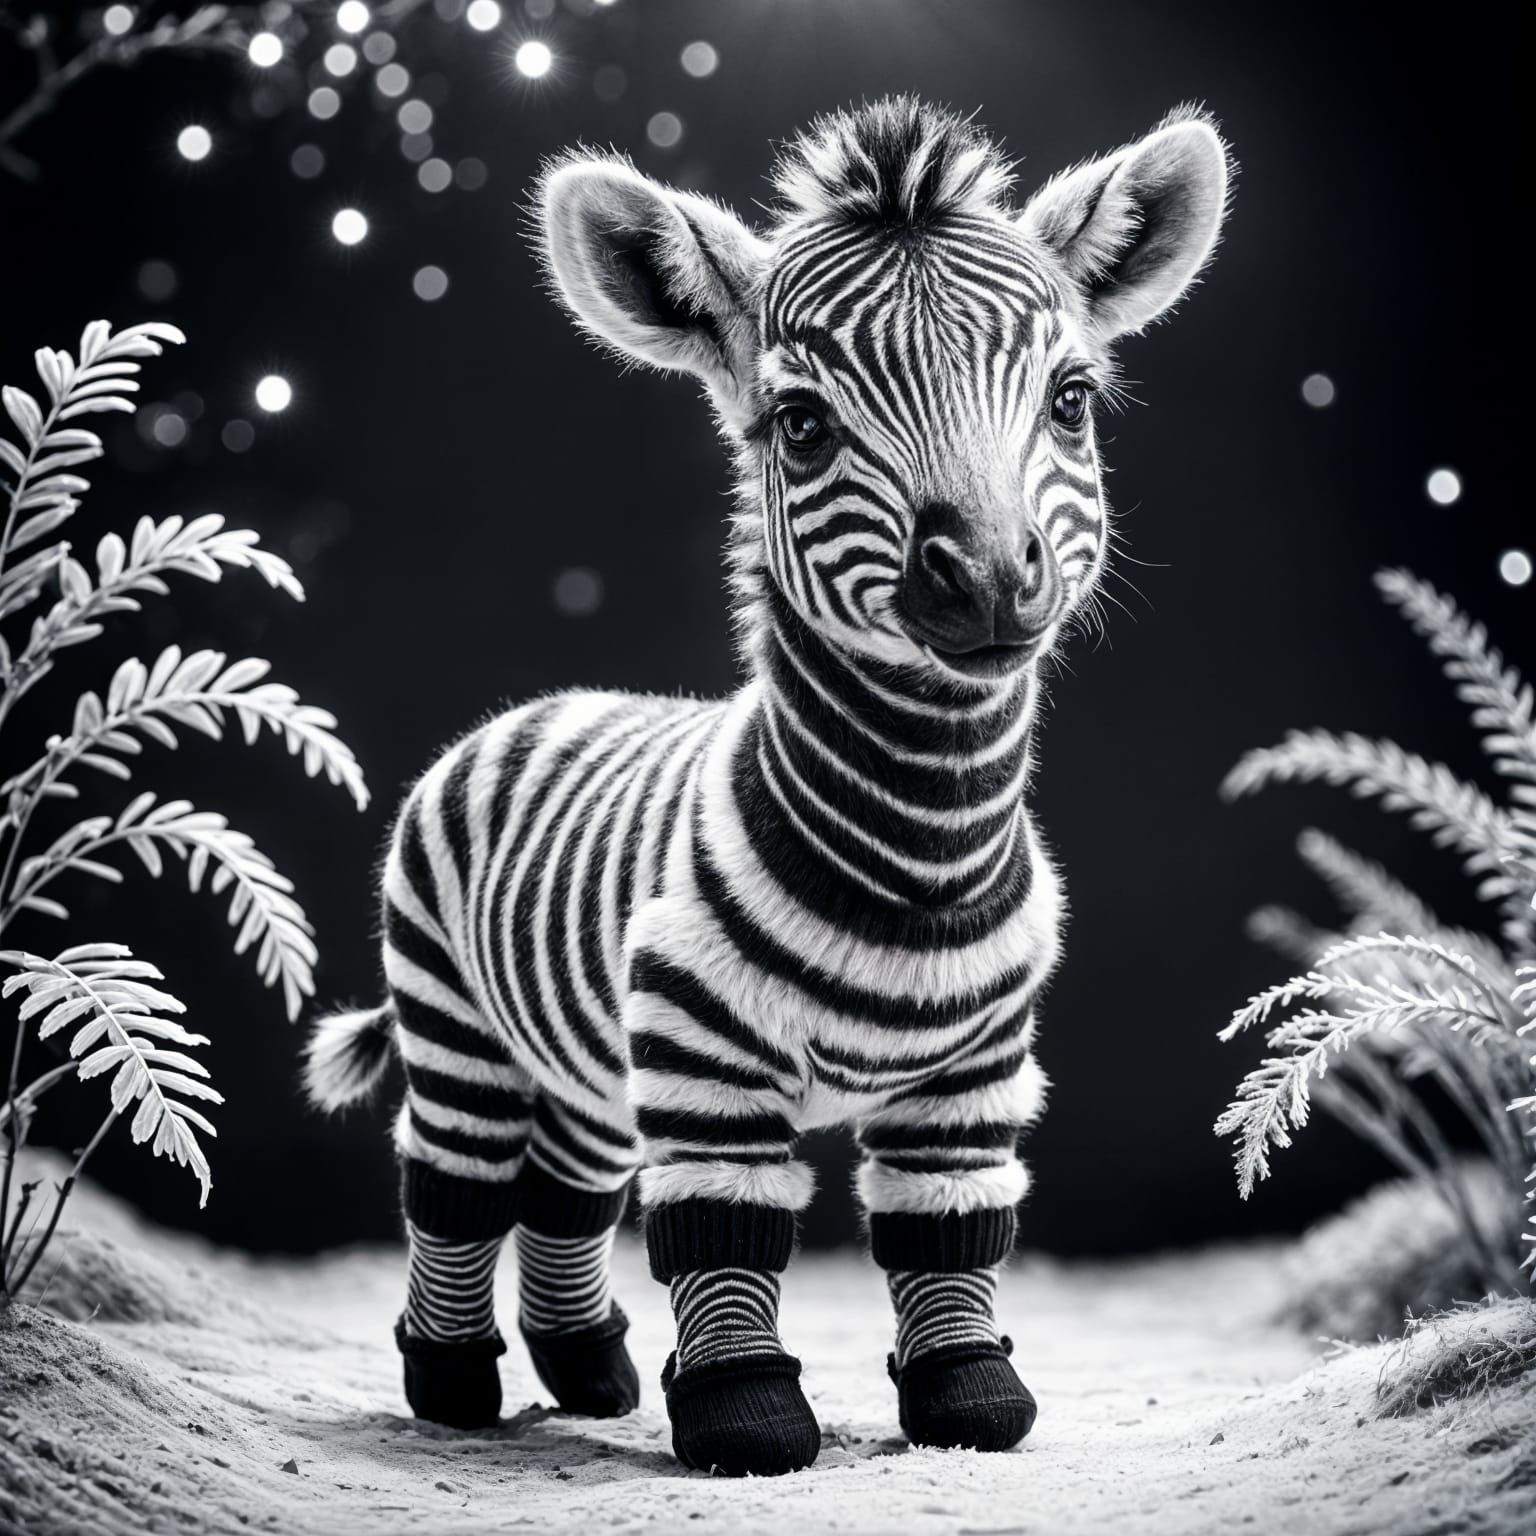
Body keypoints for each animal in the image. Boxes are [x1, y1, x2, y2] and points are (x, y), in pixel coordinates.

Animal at [306, 97, 1230, 1477]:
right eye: (801, 427)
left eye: (1071, 401)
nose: (989, 584)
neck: (924, 842)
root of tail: (534, 705)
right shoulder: (707, 1058)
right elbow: (723, 1222)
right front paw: (742, 1416)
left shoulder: (973, 1076)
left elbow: (947, 1225)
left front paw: (968, 1397)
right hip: (456, 1020)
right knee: (456, 1182)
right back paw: (454, 1384)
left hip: (587, 1054)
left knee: (567, 1188)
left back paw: (589, 1374)